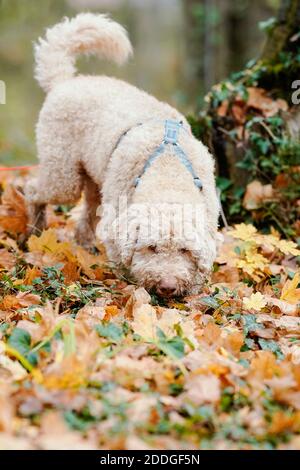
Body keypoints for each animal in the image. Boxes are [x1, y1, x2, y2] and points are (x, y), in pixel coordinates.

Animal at [25, 13, 219, 298]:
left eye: (185, 251)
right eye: (151, 247)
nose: (167, 286)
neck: (168, 169)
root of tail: (66, 81)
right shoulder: (117, 221)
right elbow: (120, 255)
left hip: (95, 179)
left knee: (86, 215)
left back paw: (84, 246)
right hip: (63, 173)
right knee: (31, 189)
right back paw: (35, 230)